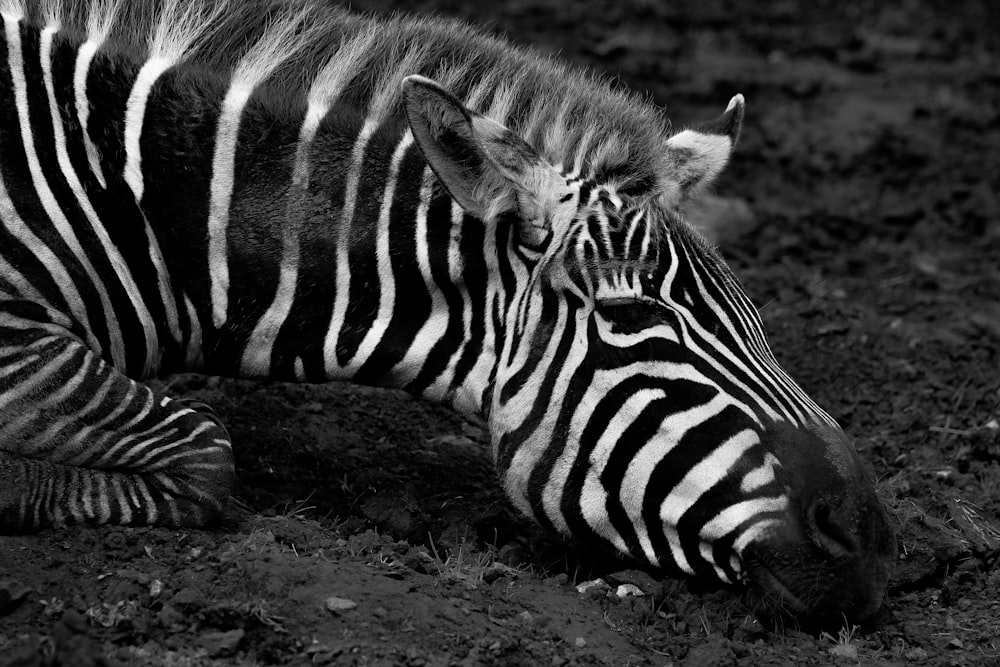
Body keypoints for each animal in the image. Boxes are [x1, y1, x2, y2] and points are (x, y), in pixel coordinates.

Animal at [0, 0, 892, 628]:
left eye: (754, 312)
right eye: (633, 311)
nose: (868, 536)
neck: (151, 205)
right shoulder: (14, 339)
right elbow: (205, 448)